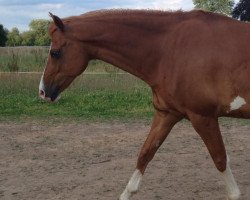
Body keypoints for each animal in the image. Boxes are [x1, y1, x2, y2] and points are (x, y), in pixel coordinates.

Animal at [38, 10, 249, 199]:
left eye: (55, 53)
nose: (43, 92)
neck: (171, 50)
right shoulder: (167, 114)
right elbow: (145, 154)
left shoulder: (203, 117)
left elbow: (220, 160)